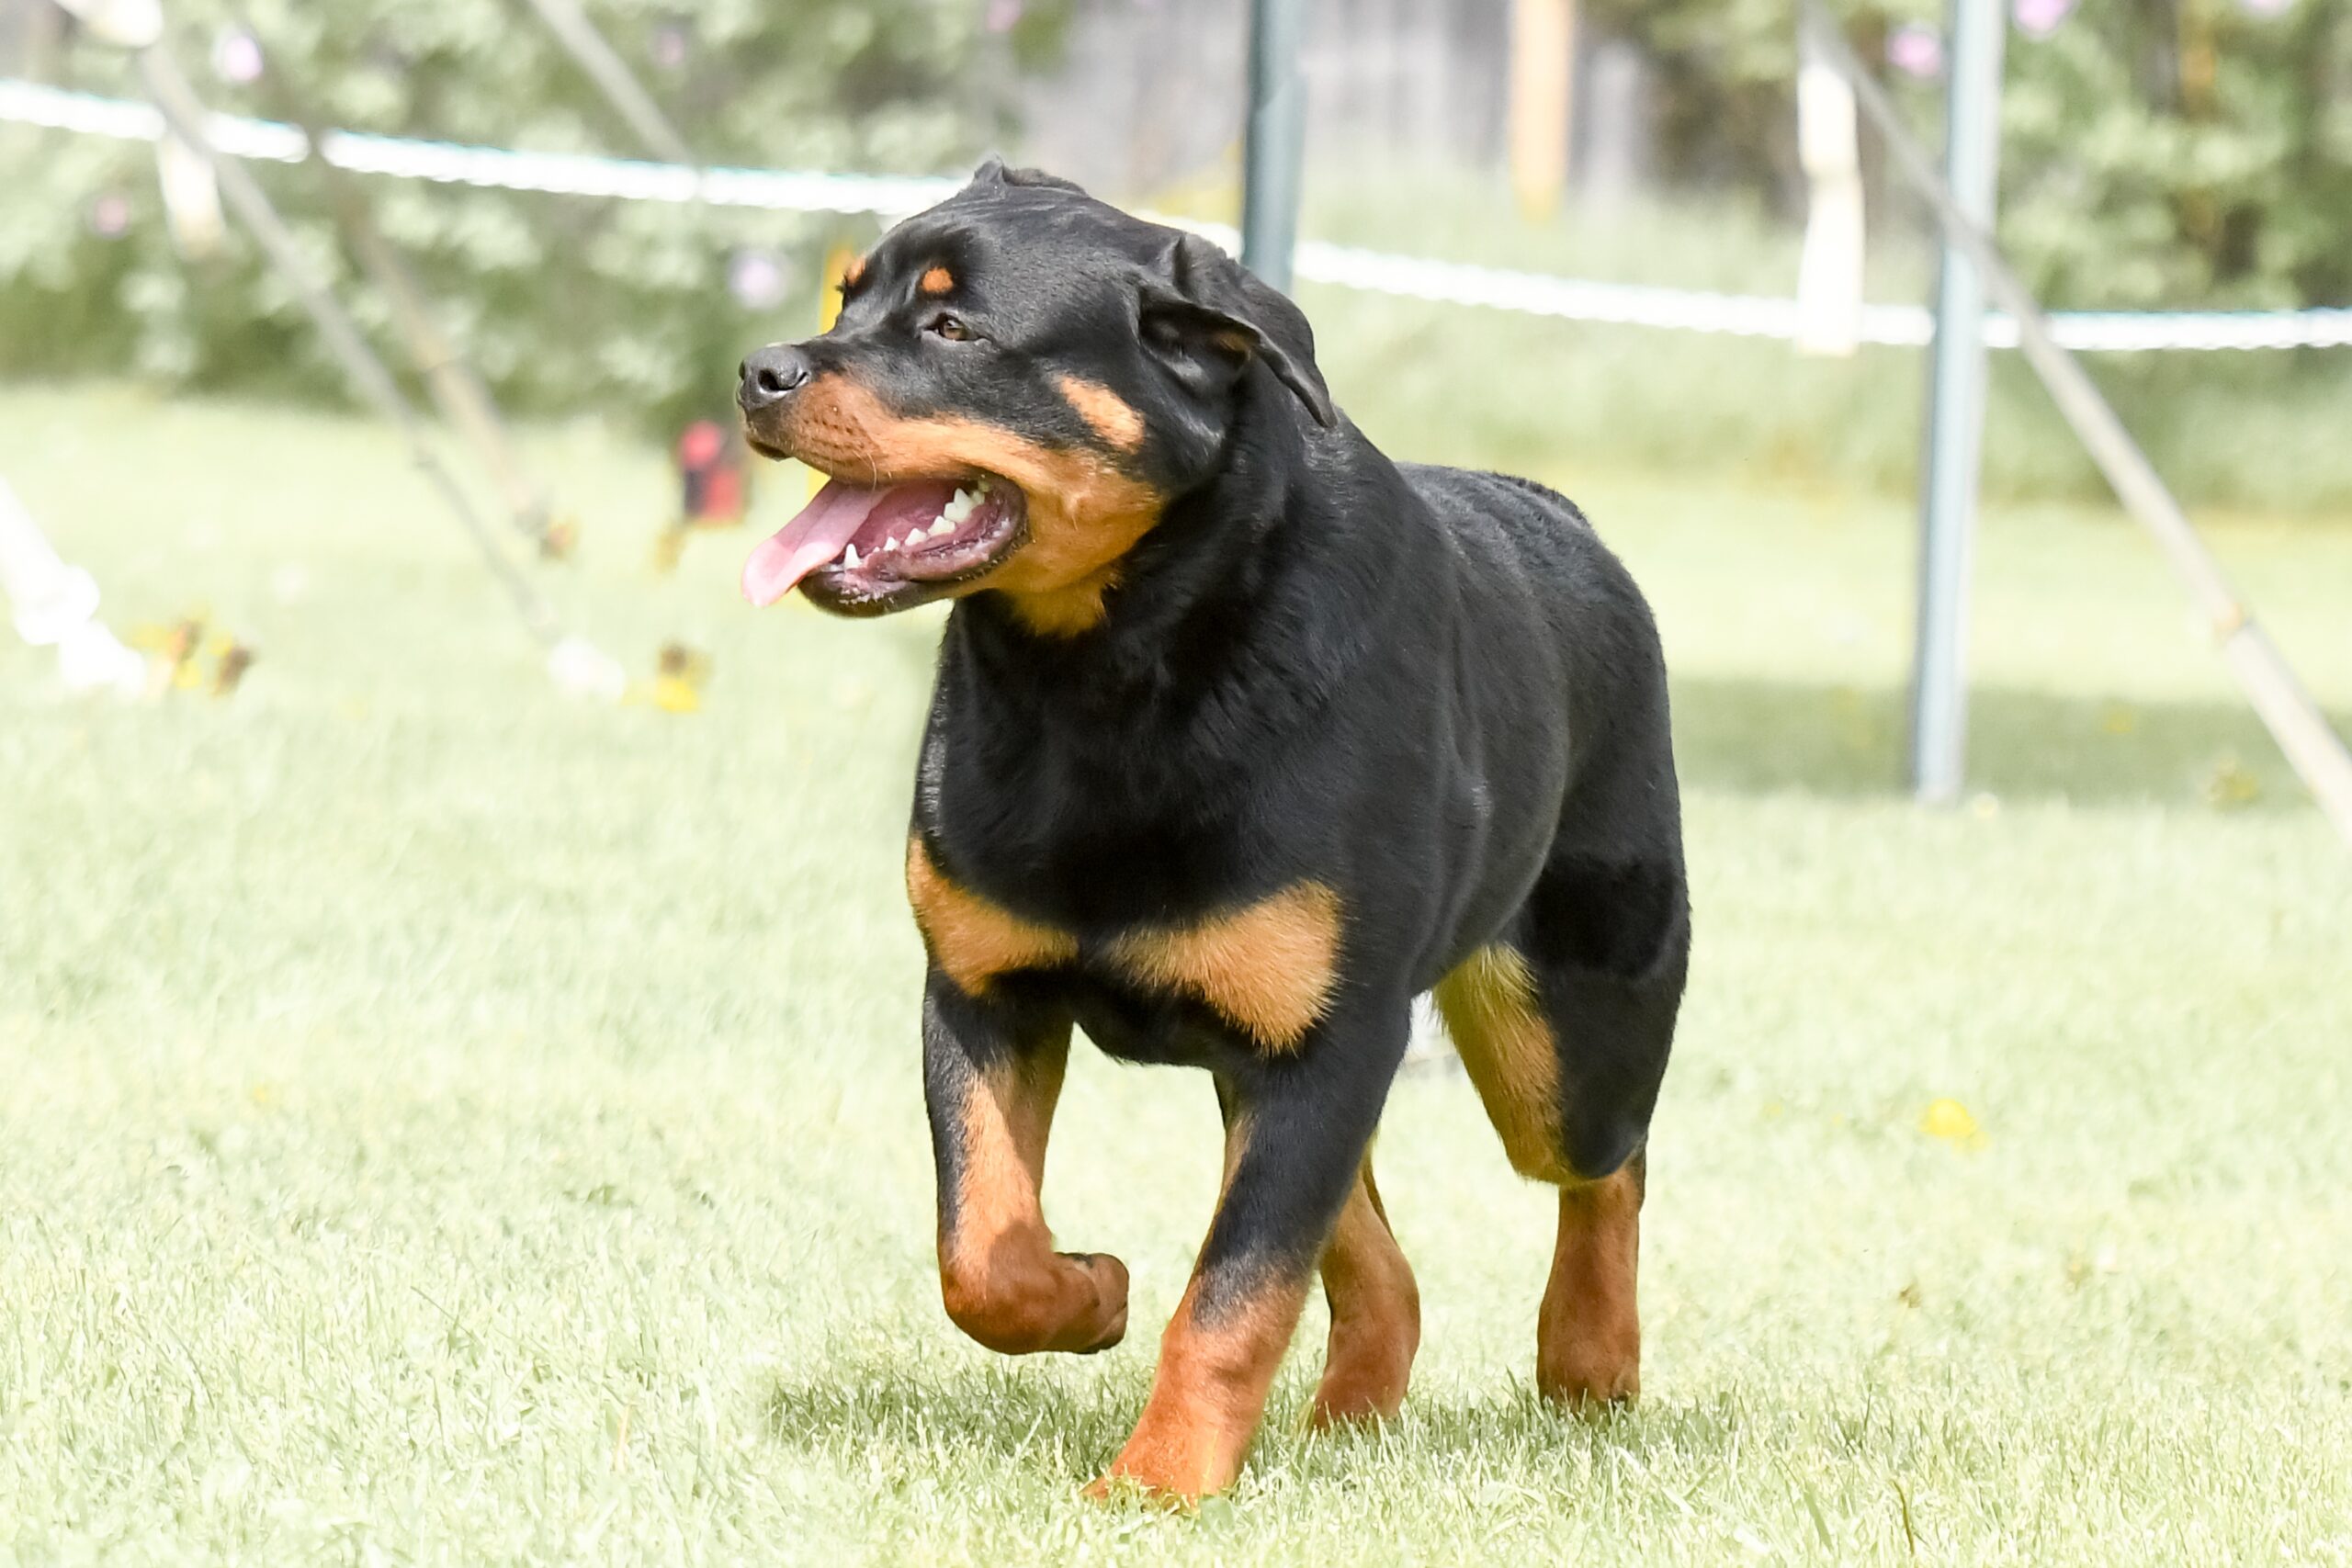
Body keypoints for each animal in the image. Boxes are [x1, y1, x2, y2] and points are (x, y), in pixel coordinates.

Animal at [742, 165, 1683, 1504]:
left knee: (1604, 1164)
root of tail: (1564, 516)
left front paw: (1156, 1485)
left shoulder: (1330, 1038)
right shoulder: (981, 988)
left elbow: (1232, 1297)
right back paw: (1355, 1410)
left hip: (1559, 1025)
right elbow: (981, 1247)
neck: (1108, 675)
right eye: (846, 297)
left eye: (954, 328)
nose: (760, 369)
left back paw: (1590, 1358)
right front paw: (1087, 1294)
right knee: (1379, 1258)